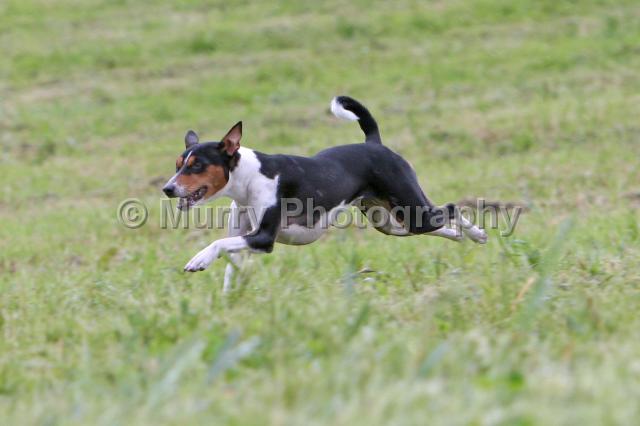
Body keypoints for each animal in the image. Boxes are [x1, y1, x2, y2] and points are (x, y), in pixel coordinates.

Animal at [162, 96, 487, 290]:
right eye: (179, 164)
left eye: (197, 165)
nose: (168, 189)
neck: (249, 178)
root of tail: (374, 144)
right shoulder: (244, 238)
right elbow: (230, 268)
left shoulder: (264, 237)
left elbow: (217, 244)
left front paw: (198, 260)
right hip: (390, 222)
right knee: (439, 223)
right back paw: (459, 236)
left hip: (410, 211)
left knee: (451, 208)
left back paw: (477, 234)